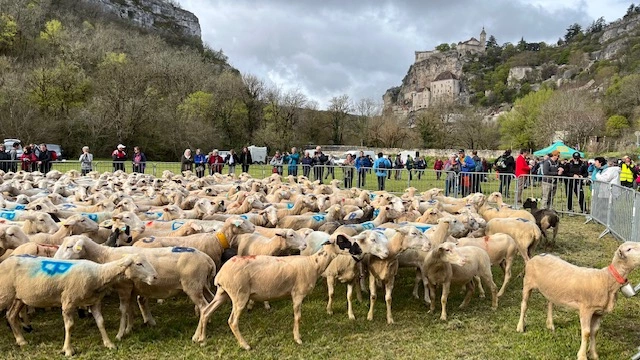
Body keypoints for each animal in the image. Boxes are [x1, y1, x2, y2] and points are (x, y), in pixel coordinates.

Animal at [53, 236, 218, 340]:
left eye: (69, 246)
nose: (55, 260)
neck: (104, 257)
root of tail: (208, 259)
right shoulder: (131, 289)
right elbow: (130, 308)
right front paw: (129, 328)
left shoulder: (124, 287)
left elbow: (123, 310)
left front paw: (120, 334)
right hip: (202, 285)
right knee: (211, 302)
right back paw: (209, 322)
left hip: (192, 285)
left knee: (204, 306)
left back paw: (197, 335)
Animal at [191, 233, 390, 348]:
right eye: (343, 242)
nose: (358, 253)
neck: (313, 263)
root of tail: (221, 274)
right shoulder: (298, 294)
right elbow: (298, 317)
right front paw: (298, 338)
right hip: (239, 295)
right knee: (232, 321)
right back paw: (245, 345)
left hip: (223, 293)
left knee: (206, 311)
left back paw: (200, 339)